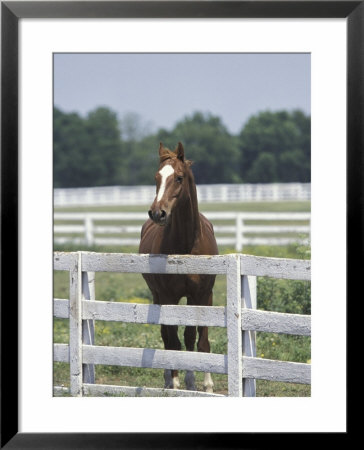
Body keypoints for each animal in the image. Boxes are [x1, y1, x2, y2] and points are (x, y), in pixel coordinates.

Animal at [139, 142, 219, 392]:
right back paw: (168, 379)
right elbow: (173, 340)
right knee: (166, 335)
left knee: (188, 337)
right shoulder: (167, 296)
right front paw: (174, 382)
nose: (157, 212)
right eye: (156, 177)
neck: (187, 245)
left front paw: (205, 385)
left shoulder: (202, 295)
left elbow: (199, 340)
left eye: (179, 177)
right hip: (157, 295)